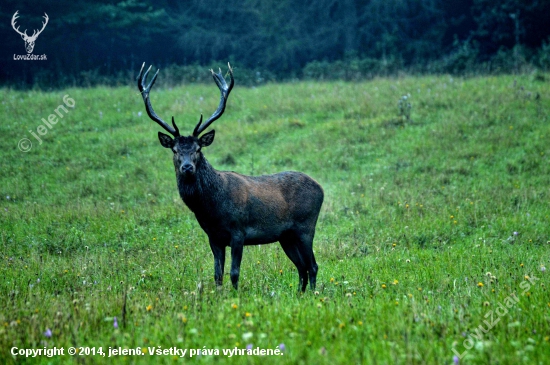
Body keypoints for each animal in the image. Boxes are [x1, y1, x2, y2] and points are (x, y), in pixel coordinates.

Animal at [137, 62, 324, 290]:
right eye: (175, 150)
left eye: (198, 148)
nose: (187, 167)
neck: (211, 209)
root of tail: (321, 188)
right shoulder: (213, 237)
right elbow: (217, 274)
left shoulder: (238, 232)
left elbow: (234, 273)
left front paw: (236, 295)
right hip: (286, 236)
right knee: (301, 267)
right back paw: (299, 294)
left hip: (306, 226)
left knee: (312, 265)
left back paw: (313, 294)